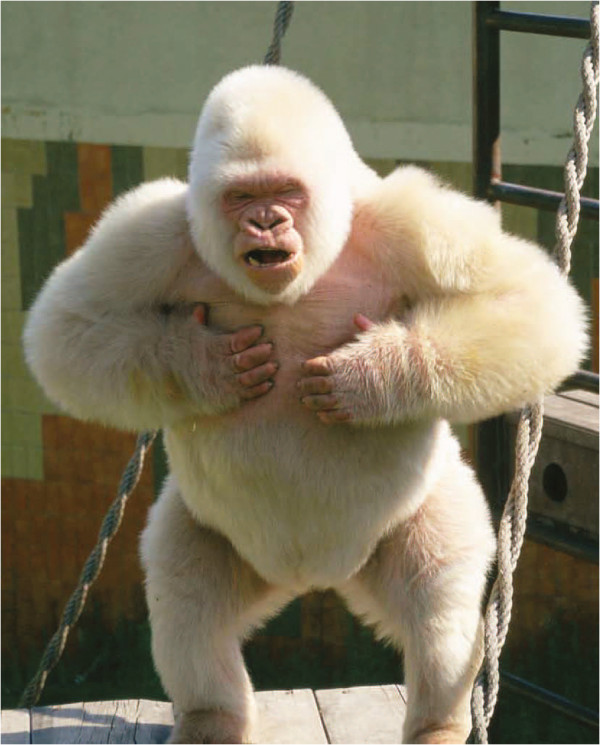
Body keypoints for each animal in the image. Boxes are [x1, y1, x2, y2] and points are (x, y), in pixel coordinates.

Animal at [23, 65, 587, 744]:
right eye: (243, 196)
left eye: (285, 193)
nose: (265, 222)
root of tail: (316, 577)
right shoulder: (145, 235)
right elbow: (68, 328)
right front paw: (201, 366)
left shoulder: (418, 221)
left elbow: (531, 304)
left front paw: (373, 375)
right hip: (234, 547)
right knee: (188, 594)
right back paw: (212, 717)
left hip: (413, 518)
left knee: (438, 598)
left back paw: (438, 722)